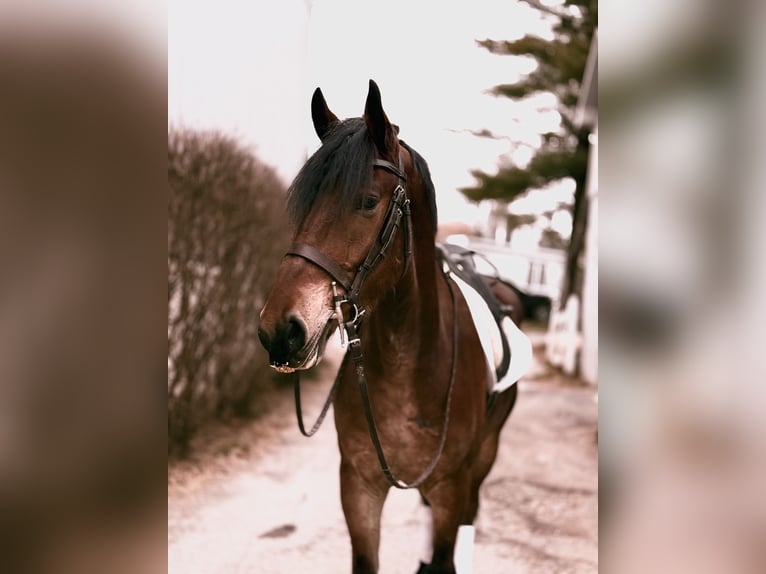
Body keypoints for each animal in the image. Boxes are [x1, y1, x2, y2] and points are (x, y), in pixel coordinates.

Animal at [258, 80, 522, 574]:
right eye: (302, 204)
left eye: (367, 201)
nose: (280, 330)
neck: (409, 364)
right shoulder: (359, 486)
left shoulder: (452, 486)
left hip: (482, 460)